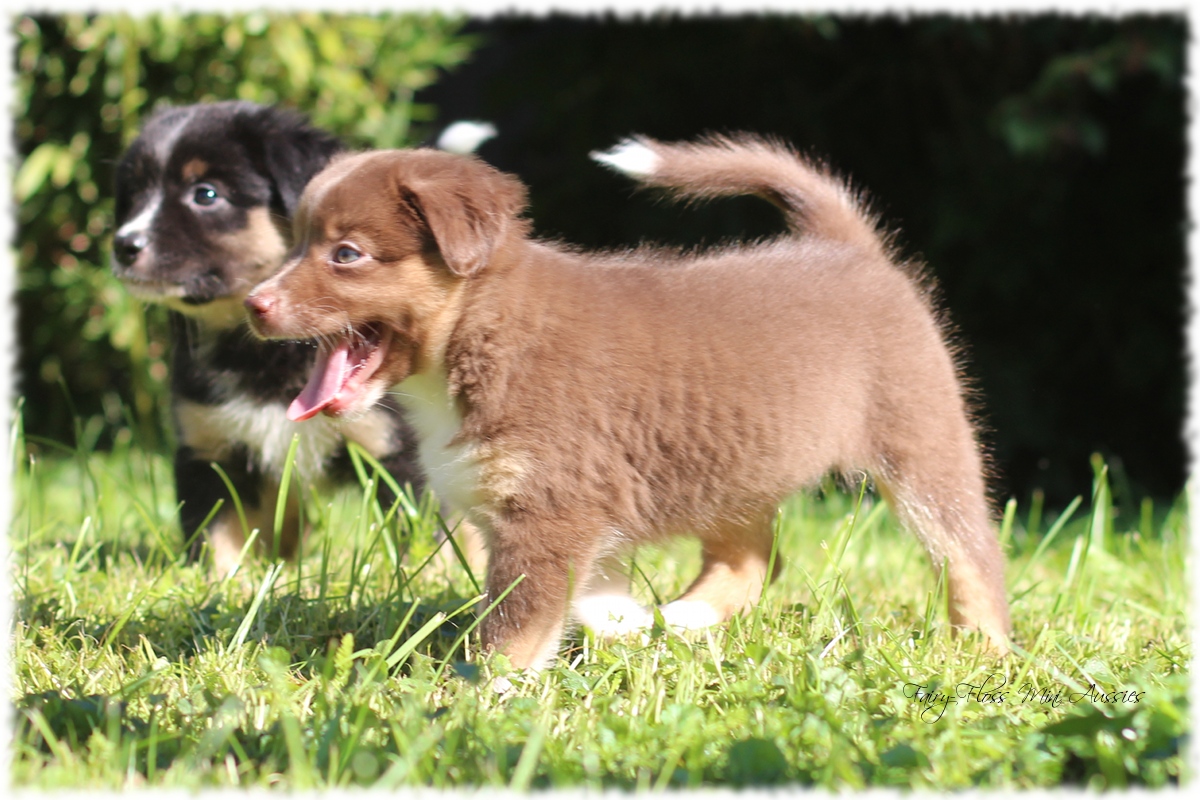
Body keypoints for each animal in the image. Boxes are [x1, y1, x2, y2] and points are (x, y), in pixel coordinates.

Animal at [108, 101, 427, 575]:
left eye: (206, 194)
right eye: (135, 194)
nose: (123, 245)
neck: (264, 354)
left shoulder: (395, 445)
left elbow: (421, 533)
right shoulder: (210, 450)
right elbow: (216, 537)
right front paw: (224, 583)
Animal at [243, 134, 1012, 666]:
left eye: (346, 254)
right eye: (297, 242)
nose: (253, 304)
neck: (482, 328)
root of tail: (847, 249)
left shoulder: (549, 512)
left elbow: (514, 627)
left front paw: (478, 696)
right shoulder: (560, 514)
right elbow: (588, 594)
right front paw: (625, 624)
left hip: (923, 445)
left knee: (971, 553)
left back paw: (983, 651)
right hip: (732, 460)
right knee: (751, 559)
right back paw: (683, 619)